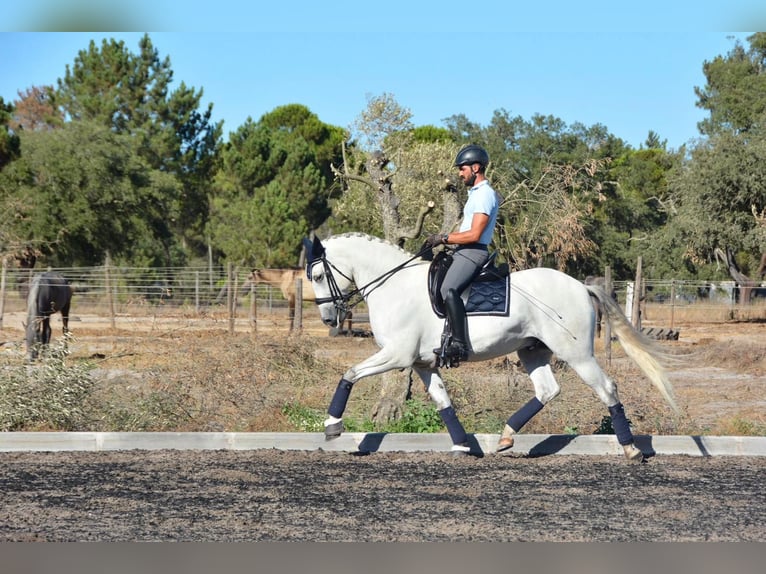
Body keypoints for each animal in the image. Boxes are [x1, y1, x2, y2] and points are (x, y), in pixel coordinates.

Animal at [304, 232, 680, 462]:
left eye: (319, 276)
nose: (327, 318)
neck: (392, 285)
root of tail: (579, 286)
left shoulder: (397, 355)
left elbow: (350, 373)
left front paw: (332, 426)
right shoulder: (423, 364)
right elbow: (443, 402)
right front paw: (461, 445)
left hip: (577, 354)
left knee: (606, 388)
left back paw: (631, 450)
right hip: (532, 350)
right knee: (547, 390)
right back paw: (505, 438)